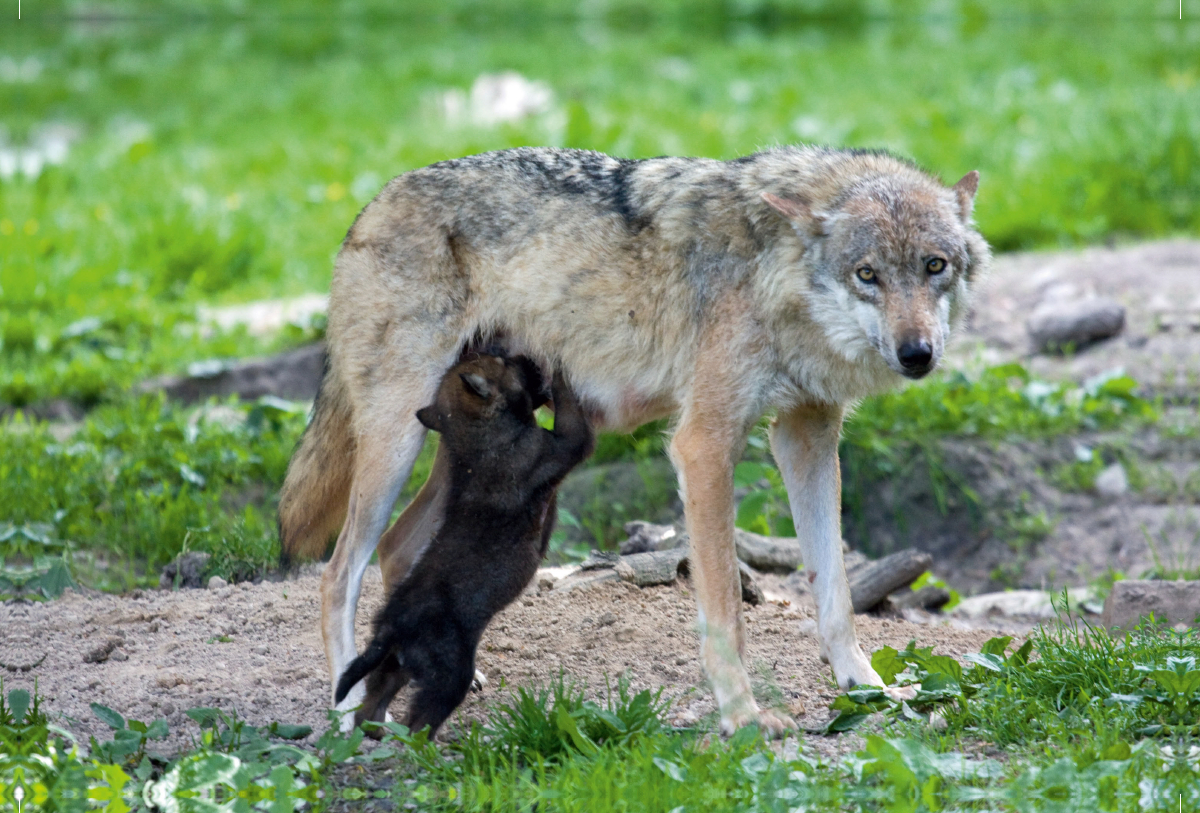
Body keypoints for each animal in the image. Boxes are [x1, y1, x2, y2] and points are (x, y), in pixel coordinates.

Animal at [333, 357, 590, 738]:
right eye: (505, 362)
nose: (525, 357)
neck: (474, 436)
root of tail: (392, 627)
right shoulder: (565, 443)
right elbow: (571, 408)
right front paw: (559, 369)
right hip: (449, 676)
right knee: (418, 726)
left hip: (393, 669)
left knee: (369, 713)